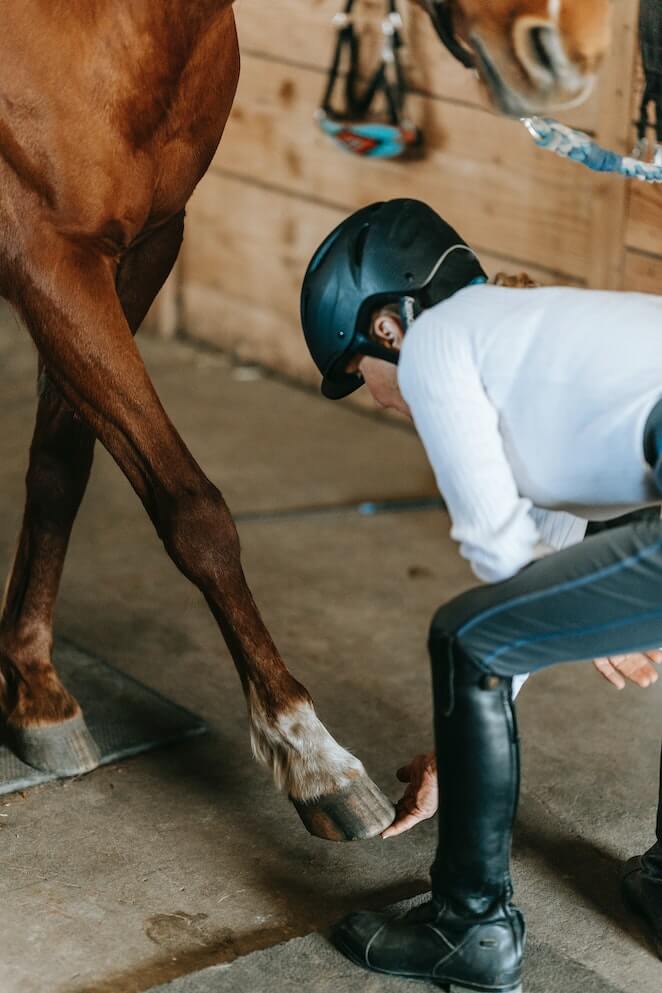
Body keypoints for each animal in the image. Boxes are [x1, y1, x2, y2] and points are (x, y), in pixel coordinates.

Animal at [0, 0, 611, 843]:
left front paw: (34, 691)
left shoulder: (139, 246)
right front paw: (311, 756)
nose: (565, 55)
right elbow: (195, 512)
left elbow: (62, 463)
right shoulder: (43, 254)